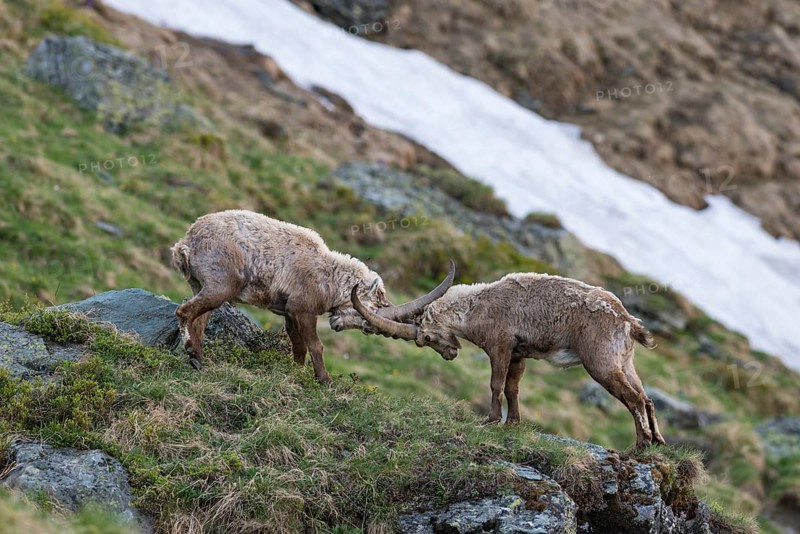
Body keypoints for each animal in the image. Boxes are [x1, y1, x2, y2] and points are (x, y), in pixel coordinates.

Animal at [171, 210, 455, 382]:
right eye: (372, 310)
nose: (337, 324)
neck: (329, 275)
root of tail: (185, 244)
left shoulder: (289, 312)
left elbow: (298, 345)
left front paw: (296, 372)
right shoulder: (303, 310)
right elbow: (316, 345)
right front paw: (325, 380)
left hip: (201, 286)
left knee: (199, 319)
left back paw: (198, 359)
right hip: (221, 286)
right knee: (184, 312)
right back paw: (190, 350)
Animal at [352, 272, 666, 448]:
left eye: (425, 338)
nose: (451, 354)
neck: (475, 307)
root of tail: (627, 321)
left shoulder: (500, 346)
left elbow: (496, 384)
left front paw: (490, 420)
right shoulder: (518, 353)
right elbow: (513, 387)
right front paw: (513, 422)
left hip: (601, 363)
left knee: (634, 399)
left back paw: (639, 445)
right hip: (624, 362)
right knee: (646, 397)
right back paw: (657, 442)